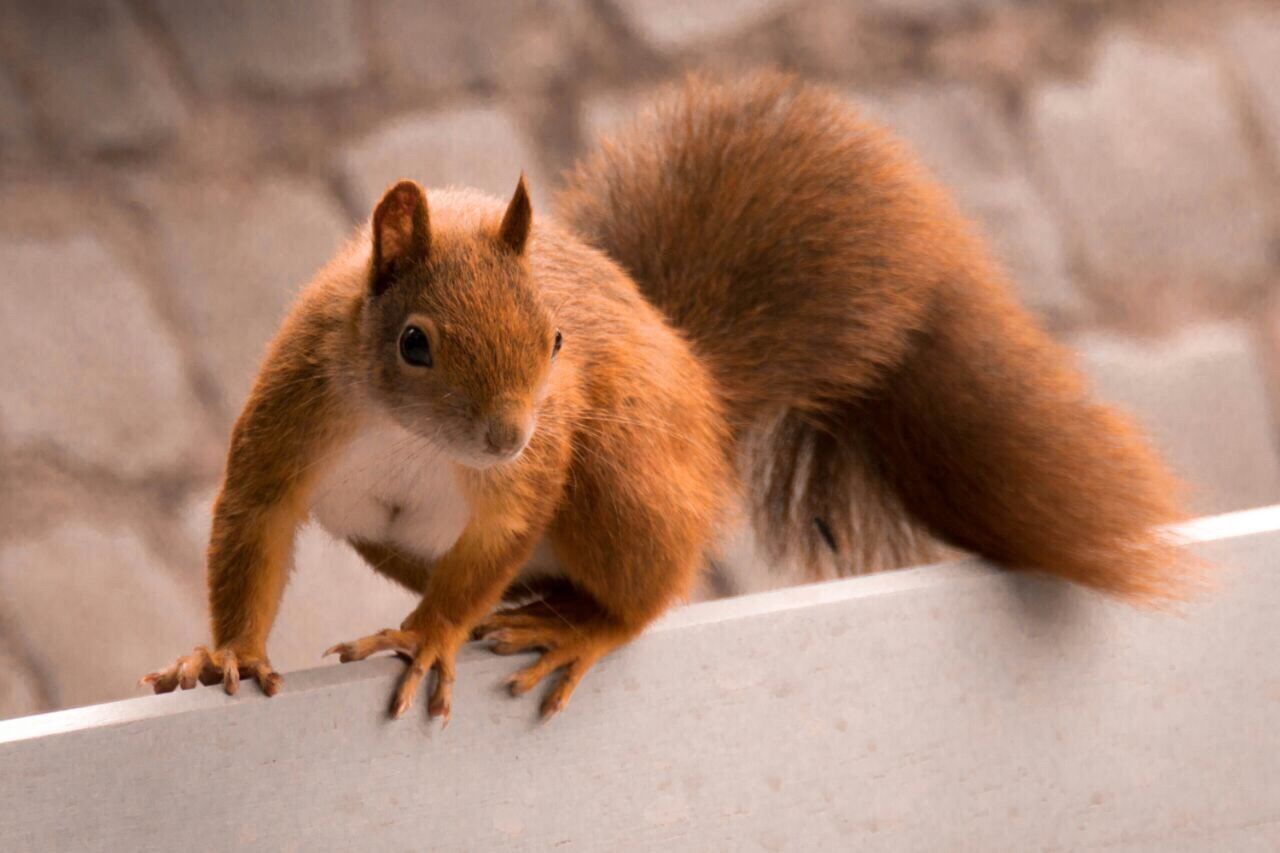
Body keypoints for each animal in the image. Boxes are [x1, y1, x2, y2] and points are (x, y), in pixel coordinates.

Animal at [140, 71, 1187, 717]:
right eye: (414, 344)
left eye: (557, 339)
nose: (511, 434)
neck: (412, 439)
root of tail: (707, 403)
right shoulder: (296, 412)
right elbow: (254, 524)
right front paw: (226, 655)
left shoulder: (524, 484)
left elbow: (492, 544)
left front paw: (433, 635)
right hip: (395, 538)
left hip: (618, 476)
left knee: (647, 591)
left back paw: (581, 627)